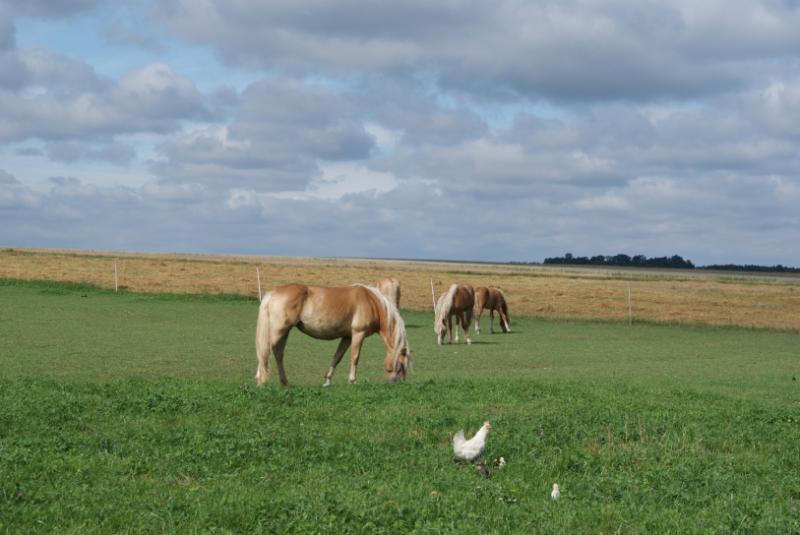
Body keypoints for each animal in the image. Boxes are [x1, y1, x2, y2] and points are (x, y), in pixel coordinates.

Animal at [253, 282, 410, 388]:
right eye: (402, 364)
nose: (399, 383)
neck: (371, 302)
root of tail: (273, 293)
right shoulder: (358, 334)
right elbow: (355, 357)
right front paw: (352, 380)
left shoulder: (347, 337)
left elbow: (337, 357)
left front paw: (327, 381)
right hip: (279, 330)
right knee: (266, 352)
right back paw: (262, 380)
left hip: (284, 332)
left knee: (277, 353)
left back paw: (283, 382)